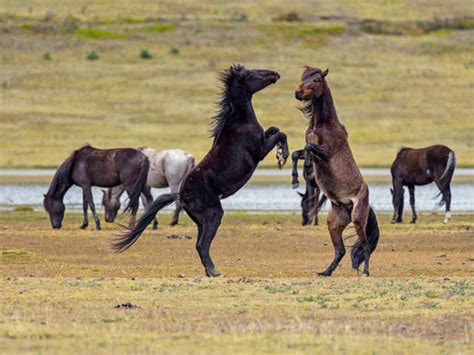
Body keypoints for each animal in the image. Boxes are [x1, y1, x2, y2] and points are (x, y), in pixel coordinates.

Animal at [113, 64, 288, 278]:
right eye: (252, 73)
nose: (275, 74)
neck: (239, 122)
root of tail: (180, 195)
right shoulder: (259, 151)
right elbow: (280, 133)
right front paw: (282, 156)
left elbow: (274, 129)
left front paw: (280, 154)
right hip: (213, 216)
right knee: (203, 245)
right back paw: (214, 272)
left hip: (200, 221)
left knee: (199, 244)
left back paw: (209, 271)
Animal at [294, 67, 380, 278]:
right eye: (303, 77)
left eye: (316, 80)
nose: (298, 93)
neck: (322, 124)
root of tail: (349, 207)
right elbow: (297, 152)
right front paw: (297, 175)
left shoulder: (326, 152)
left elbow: (309, 147)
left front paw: (306, 168)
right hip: (334, 222)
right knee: (340, 250)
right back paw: (325, 272)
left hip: (358, 219)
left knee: (365, 246)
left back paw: (365, 272)